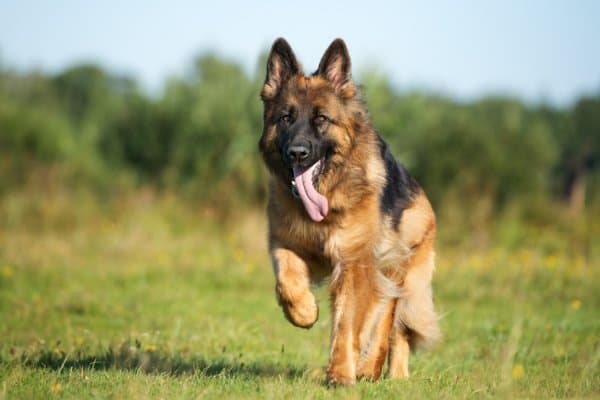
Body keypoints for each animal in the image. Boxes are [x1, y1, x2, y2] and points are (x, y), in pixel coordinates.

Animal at [258, 39, 440, 386]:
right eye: (286, 118)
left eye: (321, 119)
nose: (297, 153)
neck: (327, 197)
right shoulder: (285, 244)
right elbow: (287, 283)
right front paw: (304, 312)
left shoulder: (353, 263)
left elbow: (348, 324)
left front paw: (342, 373)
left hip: (395, 271)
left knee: (389, 326)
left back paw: (376, 370)